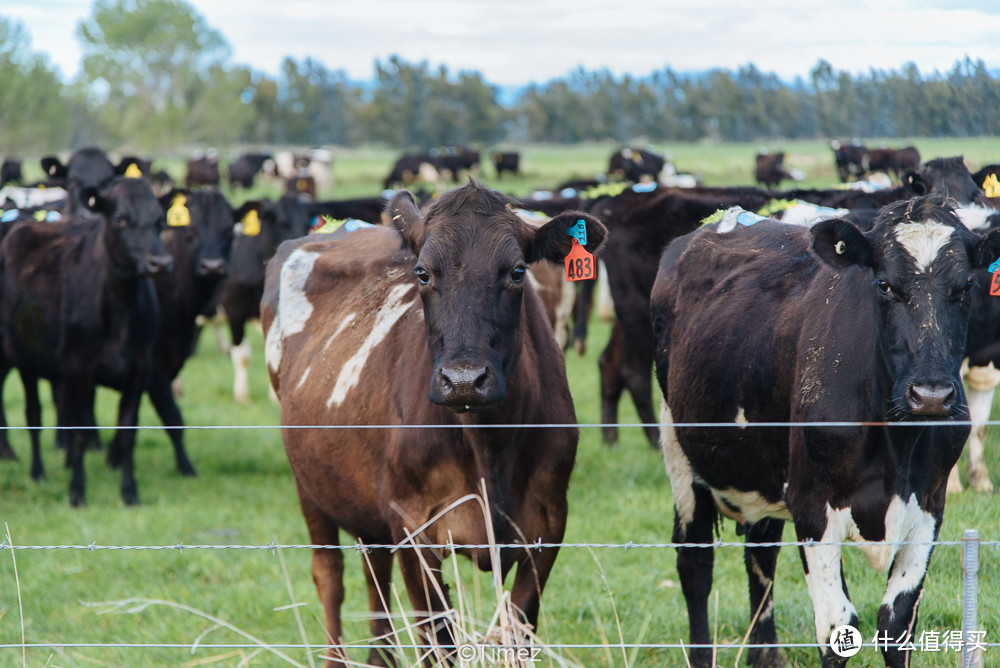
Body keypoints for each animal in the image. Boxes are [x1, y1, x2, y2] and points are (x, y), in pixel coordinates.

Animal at [0, 175, 172, 504]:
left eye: (161, 220)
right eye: (119, 218)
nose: (160, 262)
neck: (120, 310)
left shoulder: (139, 370)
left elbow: (127, 432)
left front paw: (129, 493)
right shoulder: (78, 368)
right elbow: (80, 432)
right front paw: (77, 492)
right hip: (25, 360)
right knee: (33, 415)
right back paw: (37, 472)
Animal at [262, 183, 604, 668]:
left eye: (518, 272)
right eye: (422, 274)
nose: (463, 380)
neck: (488, 446)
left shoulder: (548, 525)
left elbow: (518, 631)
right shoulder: (413, 527)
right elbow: (438, 643)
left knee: (374, 569)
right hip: (308, 482)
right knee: (329, 576)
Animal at [652, 198, 996, 668]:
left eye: (965, 288)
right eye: (884, 285)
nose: (931, 395)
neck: (895, 444)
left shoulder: (929, 504)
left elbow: (897, 623)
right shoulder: (813, 506)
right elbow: (838, 626)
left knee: (761, 557)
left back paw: (767, 656)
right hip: (679, 453)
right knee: (694, 564)